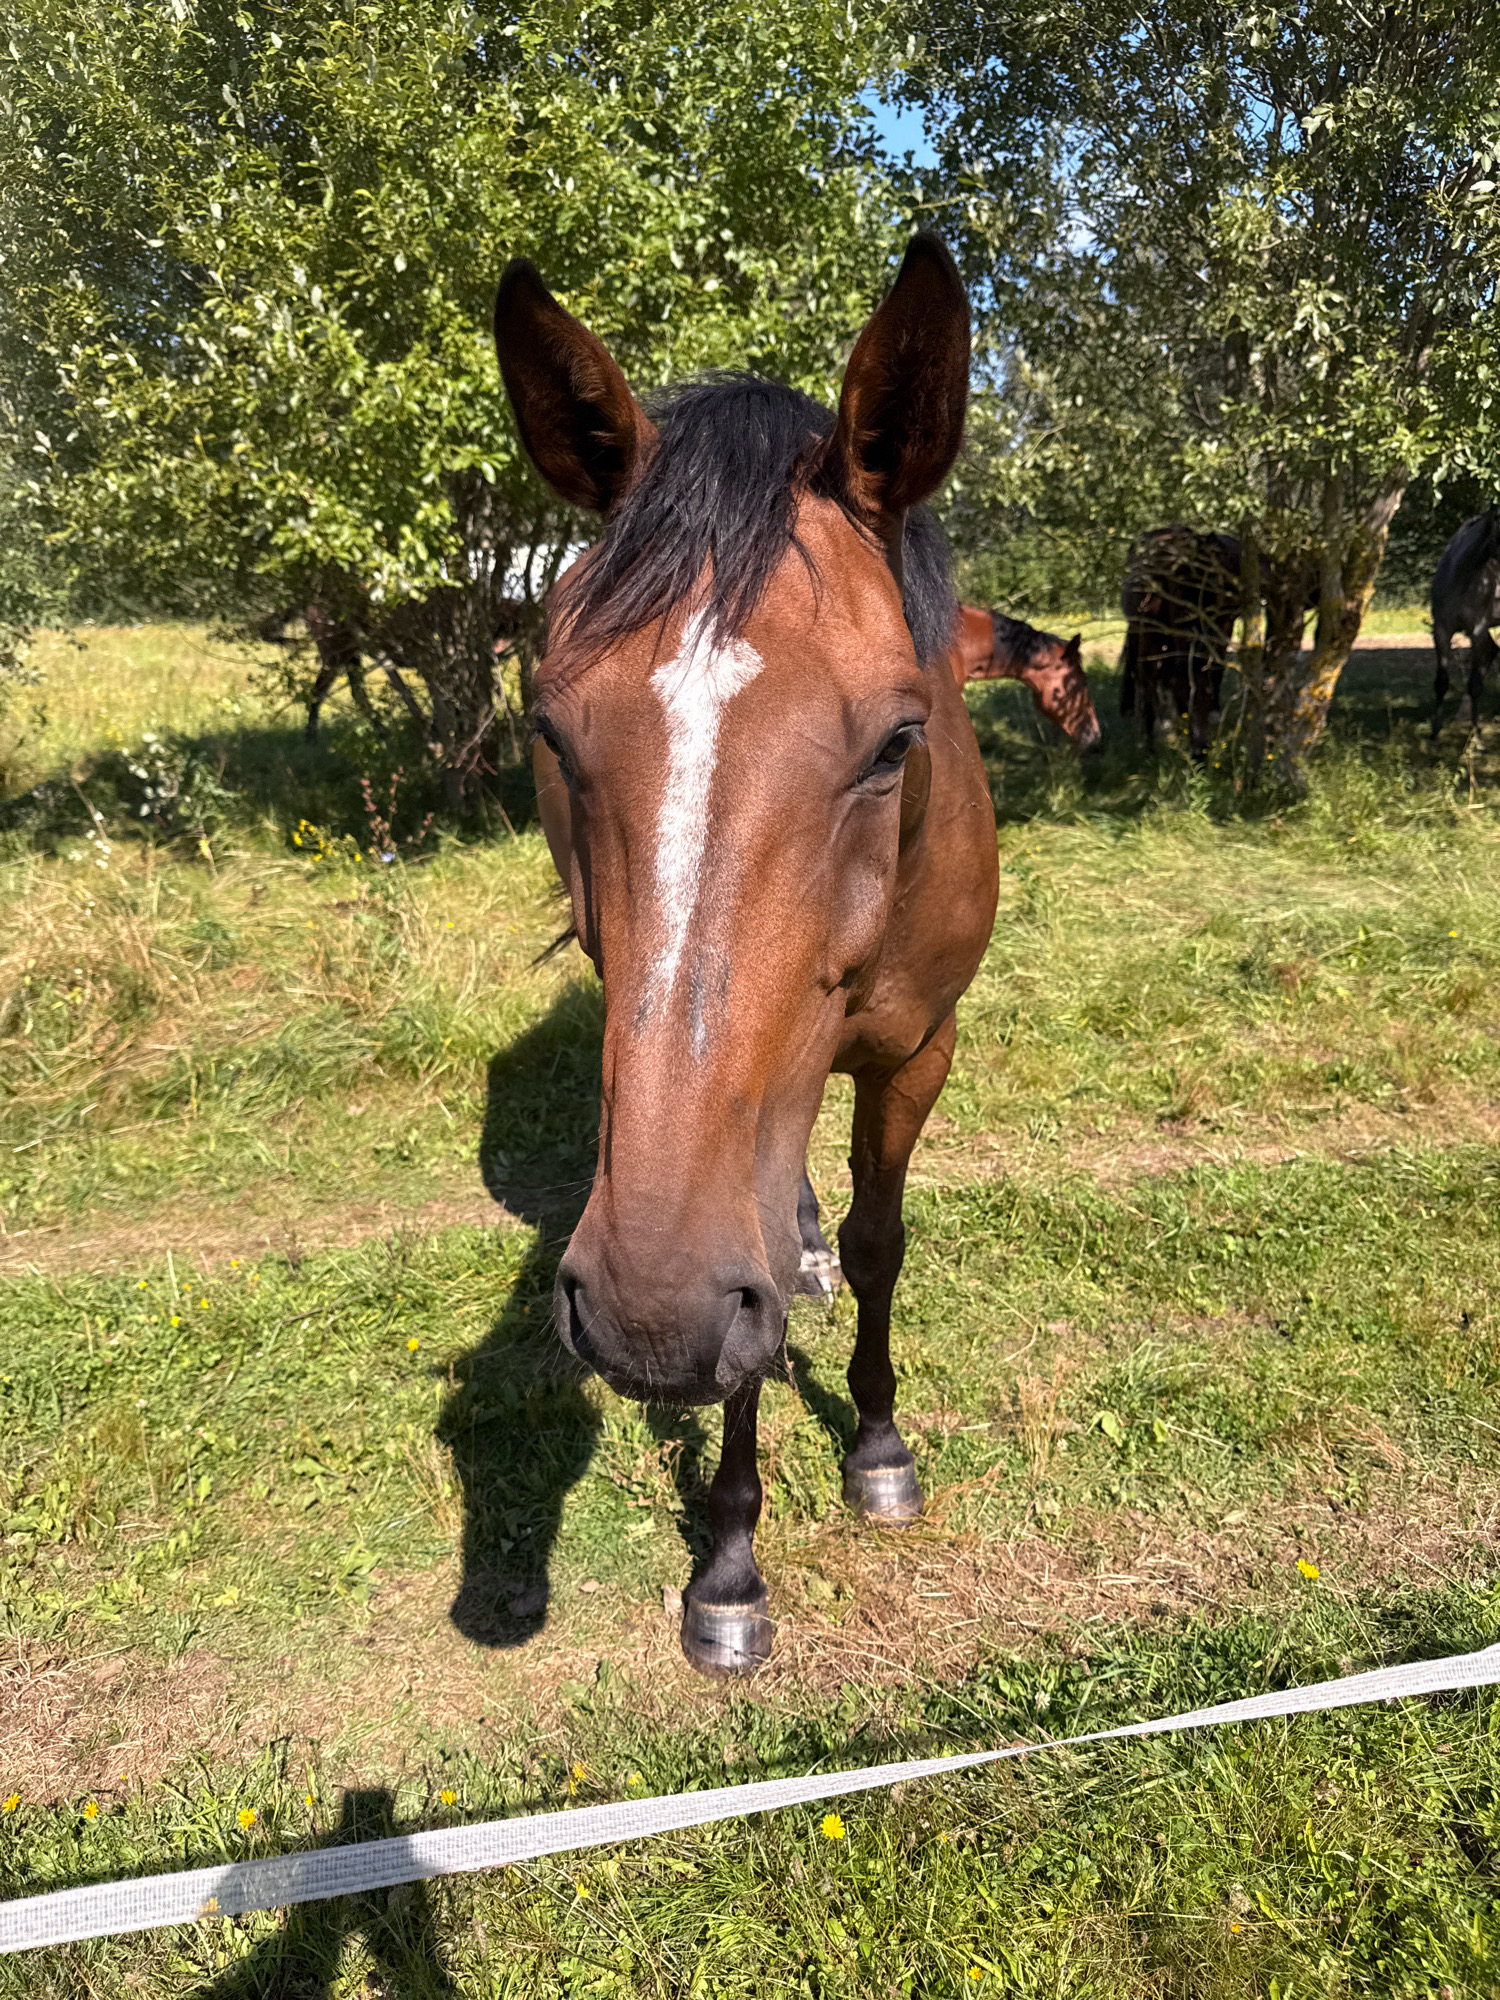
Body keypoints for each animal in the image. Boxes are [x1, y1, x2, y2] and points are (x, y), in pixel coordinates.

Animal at [496, 233, 998, 1675]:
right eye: (553, 732)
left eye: (897, 739)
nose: (645, 1310)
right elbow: (753, 1308)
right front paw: (728, 1565)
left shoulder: (919, 1050)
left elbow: (881, 1242)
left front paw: (877, 1443)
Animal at [1431, 506, 1500, 734]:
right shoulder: (1441, 630)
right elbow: (1441, 682)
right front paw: (1434, 732)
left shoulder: (1477, 630)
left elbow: (1475, 684)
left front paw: (1476, 734)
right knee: (1492, 650)